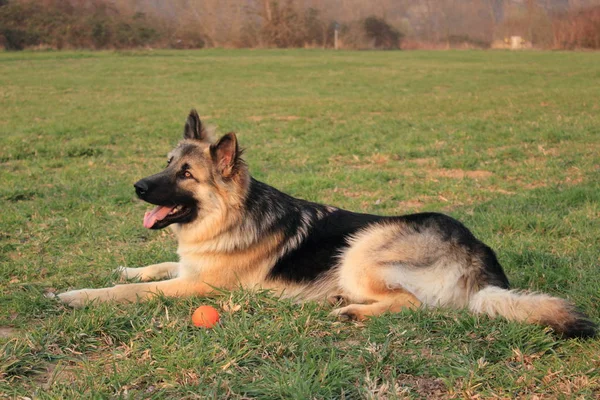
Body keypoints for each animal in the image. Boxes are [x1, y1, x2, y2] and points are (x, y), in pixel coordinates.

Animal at [58, 109, 596, 338]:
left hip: (360, 250)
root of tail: (478, 254)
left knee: (414, 304)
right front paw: (125, 268)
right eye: (166, 163)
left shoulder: (202, 287)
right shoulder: (189, 268)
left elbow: (134, 292)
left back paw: (351, 312)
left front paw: (79, 295)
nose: (137, 187)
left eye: (186, 175)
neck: (227, 216)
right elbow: (151, 268)